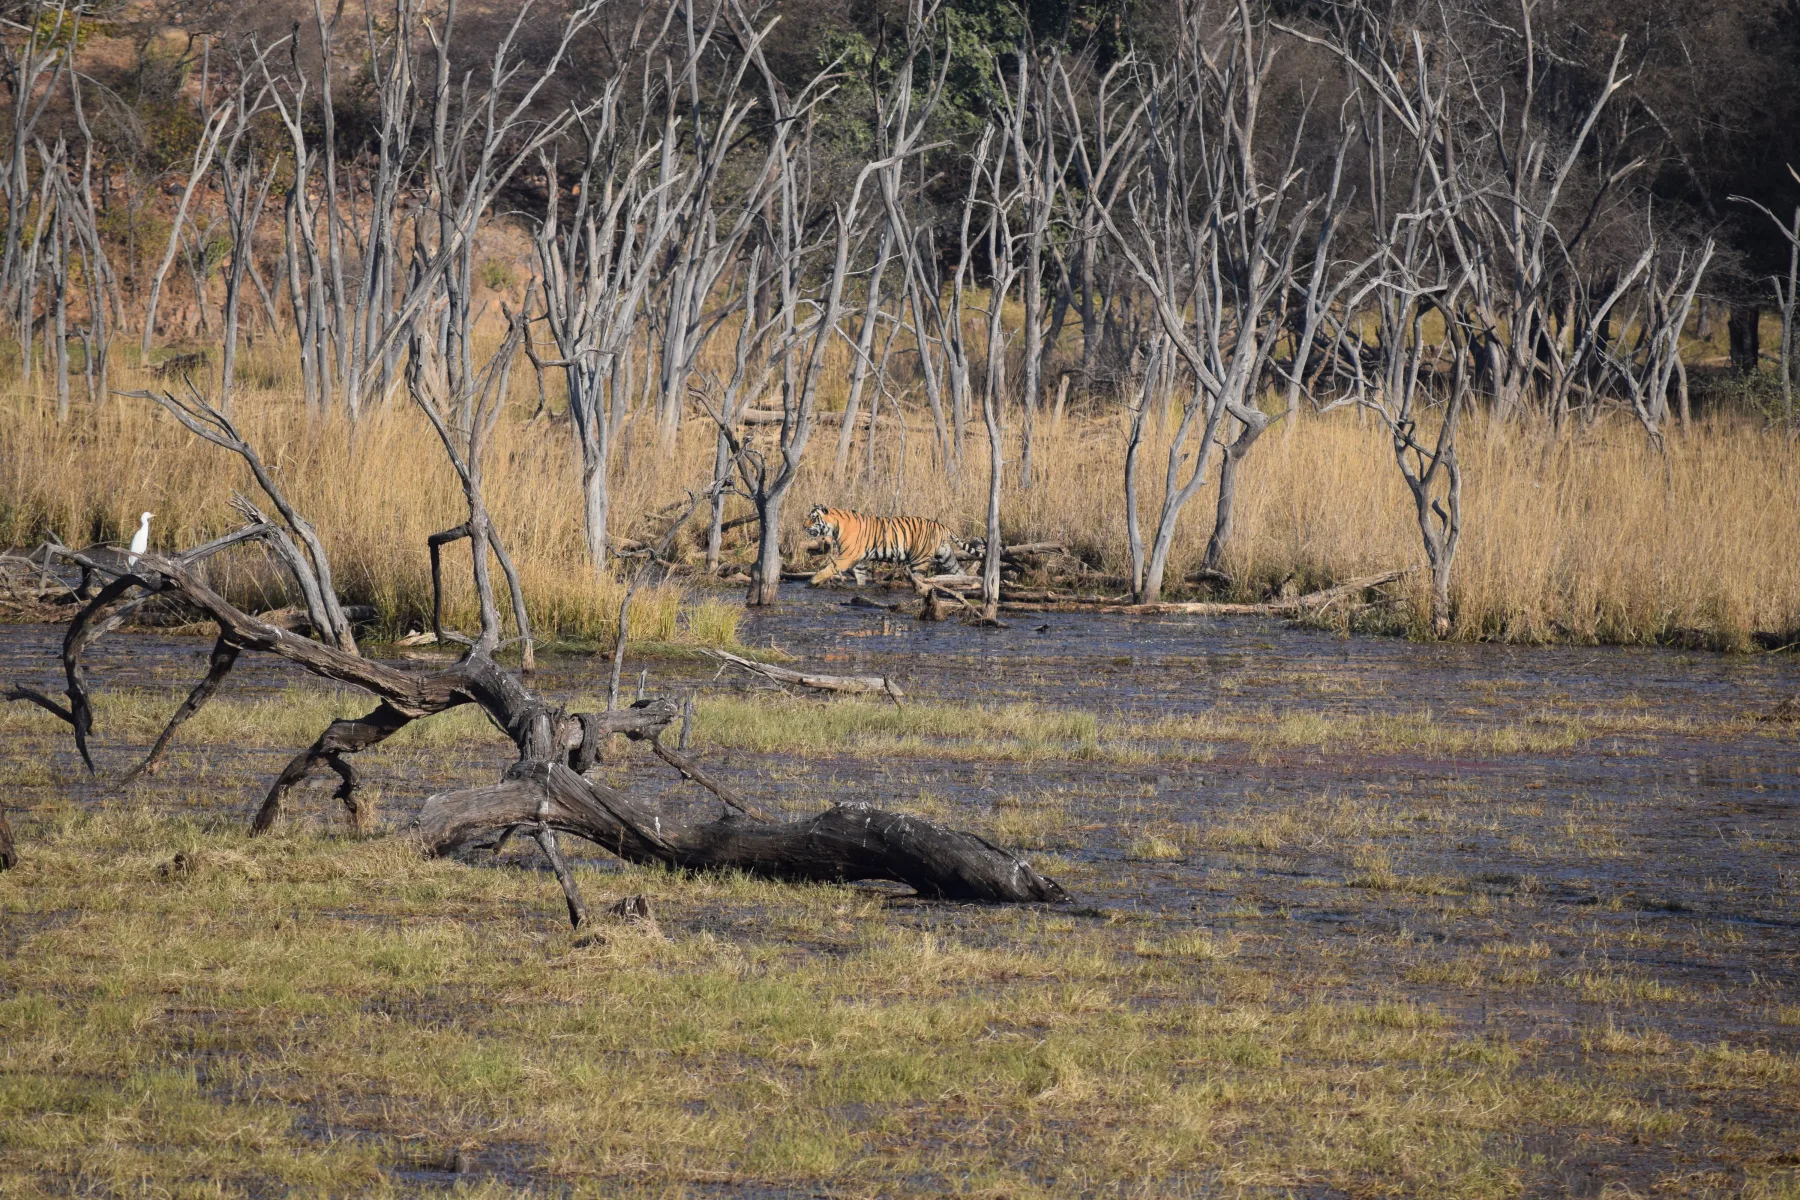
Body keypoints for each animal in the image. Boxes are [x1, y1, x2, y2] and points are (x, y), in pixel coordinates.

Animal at [803, 505, 983, 587]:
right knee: (960, 573)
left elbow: (828, 568)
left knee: (919, 577)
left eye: (813, 518)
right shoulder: (859, 560)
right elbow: (860, 576)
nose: (803, 526)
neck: (836, 526)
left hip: (920, 559)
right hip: (946, 557)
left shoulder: (847, 557)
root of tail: (942, 526)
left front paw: (812, 581)